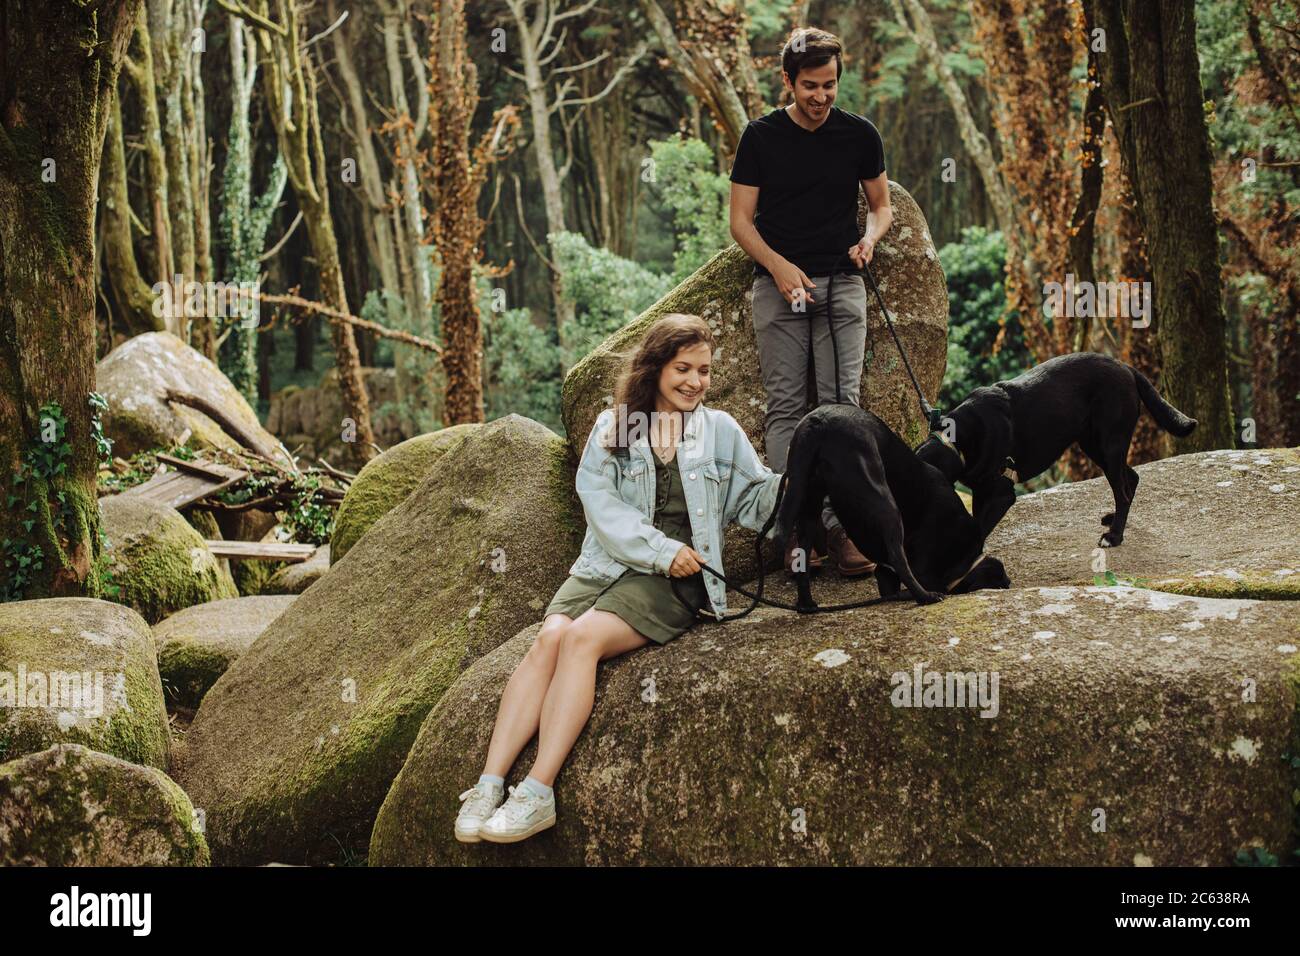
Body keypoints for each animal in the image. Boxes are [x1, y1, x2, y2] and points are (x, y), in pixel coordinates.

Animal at [769, 403, 1013, 606]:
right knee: (899, 558)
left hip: (806, 502)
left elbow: (888, 585)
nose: (1009, 582)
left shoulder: (885, 573)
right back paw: (926, 597)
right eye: (998, 579)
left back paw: (806, 605)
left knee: (802, 560)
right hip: (884, 504)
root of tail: (820, 421)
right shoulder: (926, 568)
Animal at [915, 351, 1196, 546]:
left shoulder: (1001, 493)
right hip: (1094, 445)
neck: (956, 439)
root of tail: (1125, 367)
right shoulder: (982, 491)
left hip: (1110, 443)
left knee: (1123, 492)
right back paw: (1113, 520)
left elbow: (979, 529)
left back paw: (1114, 536)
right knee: (1131, 478)